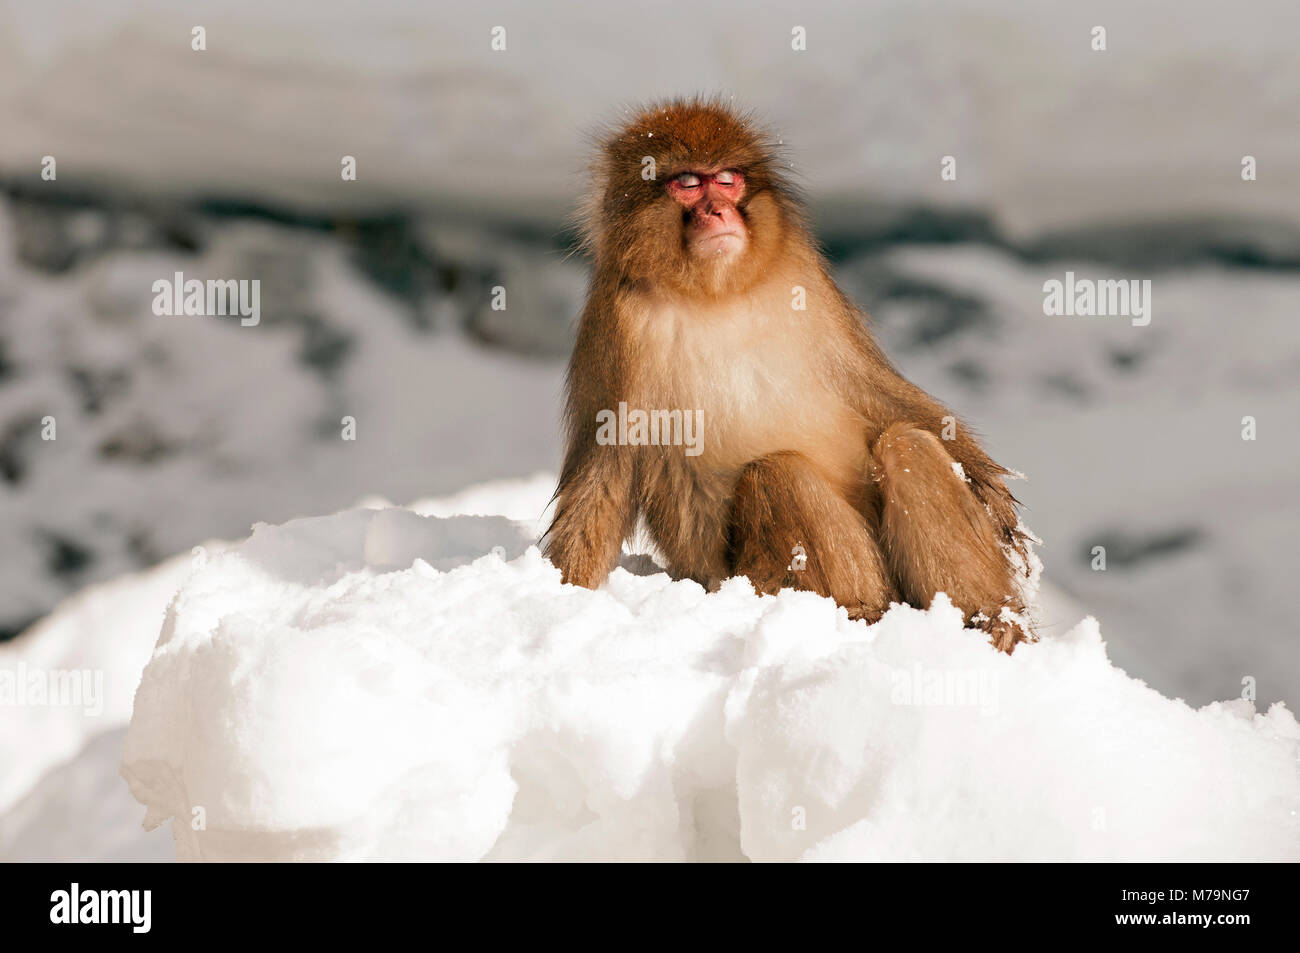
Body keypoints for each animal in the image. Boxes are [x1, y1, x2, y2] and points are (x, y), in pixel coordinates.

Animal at [543, 98, 1032, 652]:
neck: (715, 294)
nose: (717, 211)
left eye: (727, 179)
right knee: (777, 474)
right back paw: (860, 610)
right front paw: (560, 593)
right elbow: (603, 471)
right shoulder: (614, 328)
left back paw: (993, 622)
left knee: (905, 444)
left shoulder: (808, 283)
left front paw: (993, 496)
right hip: (752, 578)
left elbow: (874, 391)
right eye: (688, 183)